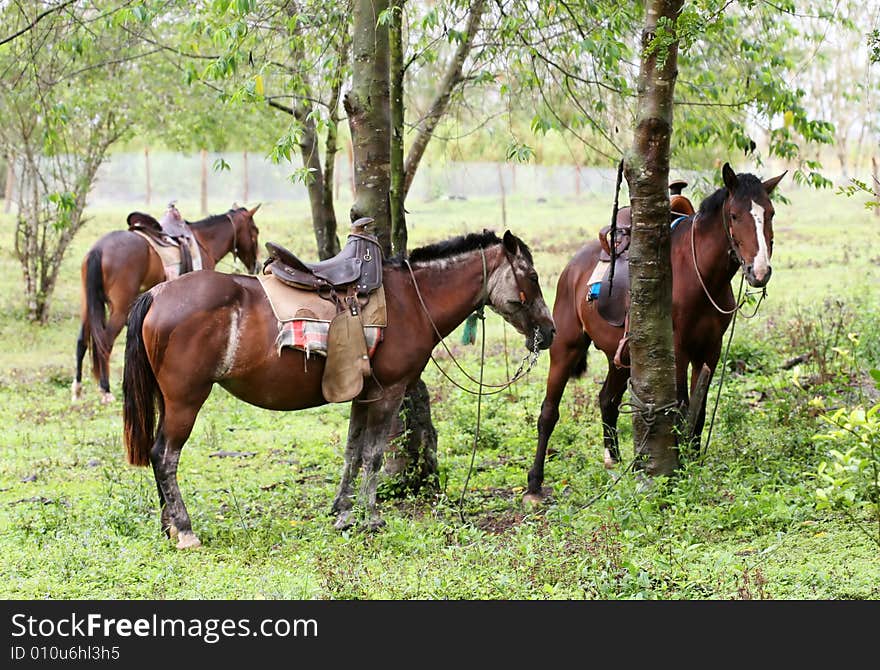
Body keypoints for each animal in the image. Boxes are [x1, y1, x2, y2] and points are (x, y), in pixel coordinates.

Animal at [524, 164, 788, 504]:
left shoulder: (710, 351)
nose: (760, 271)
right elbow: (681, 407)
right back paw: (534, 483)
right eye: (734, 215)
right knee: (549, 412)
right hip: (565, 348)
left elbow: (699, 411)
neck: (699, 273)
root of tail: (572, 268)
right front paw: (679, 466)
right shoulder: (677, 350)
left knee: (607, 399)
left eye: (770, 213)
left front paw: (692, 461)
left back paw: (616, 464)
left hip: (622, 355)